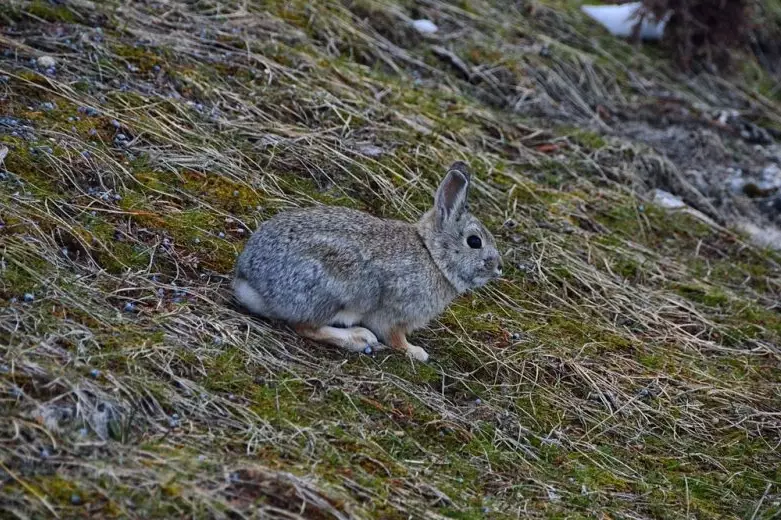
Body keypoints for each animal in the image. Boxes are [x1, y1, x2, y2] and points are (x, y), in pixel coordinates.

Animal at [232, 161, 502, 362]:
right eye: (474, 241)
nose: (499, 268)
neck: (432, 256)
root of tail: (249, 282)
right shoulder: (393, 314)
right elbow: (395, 338)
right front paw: (416, 352)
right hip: (333, 291)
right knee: (305, 327)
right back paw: (358, 338)